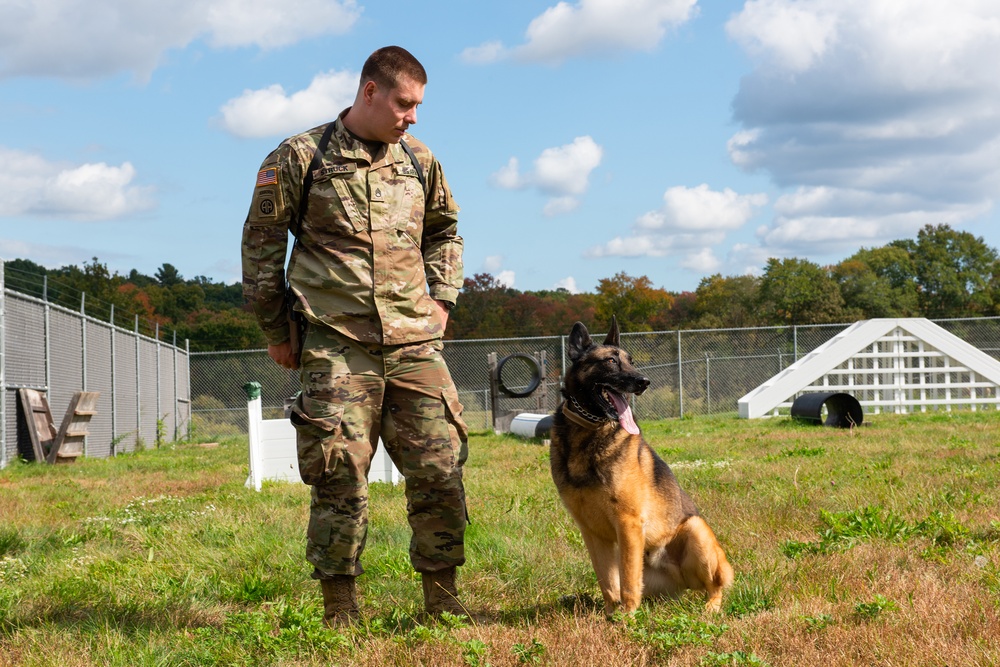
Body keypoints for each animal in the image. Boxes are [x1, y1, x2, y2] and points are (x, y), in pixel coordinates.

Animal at [548, 318, 736, 616]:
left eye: (631, 361)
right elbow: (607, 580)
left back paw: (711, 606)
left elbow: (626, 577)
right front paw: (611, 613)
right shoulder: (591, 532)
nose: (644, 381)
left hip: (696, 529)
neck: (589, 431)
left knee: (715, 584)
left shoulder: (628, 523)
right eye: (610, 361)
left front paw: (626, 615)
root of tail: (681, 584)